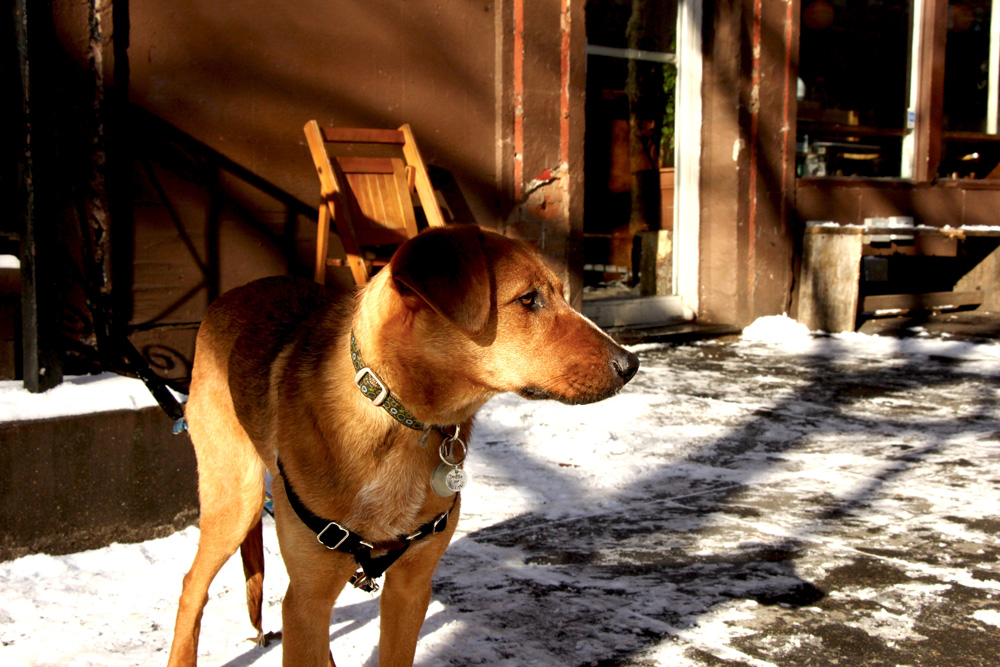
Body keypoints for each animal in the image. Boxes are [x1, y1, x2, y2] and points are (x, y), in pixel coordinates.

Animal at [163, 226, 632, 667]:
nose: (631, 364)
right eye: (528, 299)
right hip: (235, 501)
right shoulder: (307, 601)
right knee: (190, 586)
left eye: (560, 294)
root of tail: (230, 295)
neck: (398, 421)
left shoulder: (410, 588)